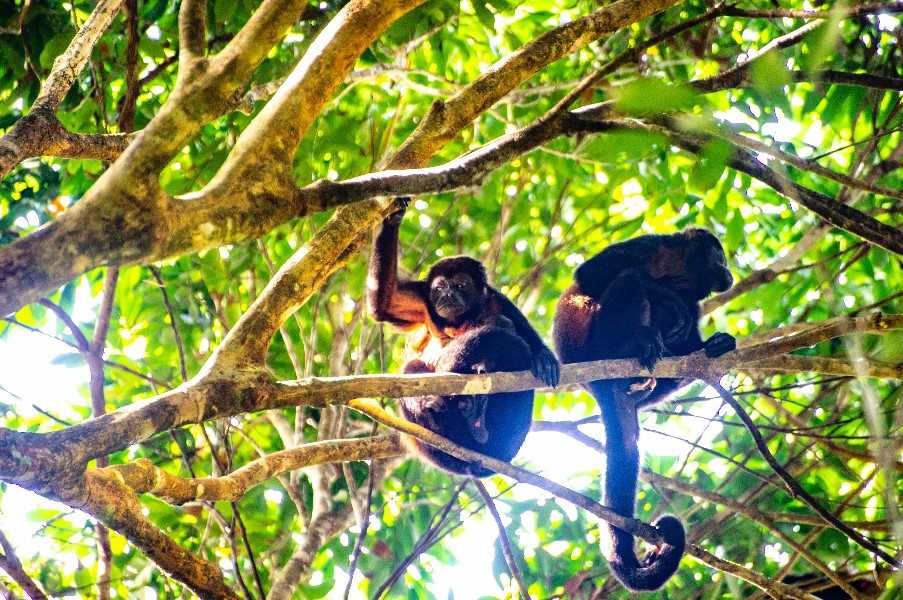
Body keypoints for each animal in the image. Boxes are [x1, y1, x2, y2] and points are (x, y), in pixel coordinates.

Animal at [368, 198, 560, 475]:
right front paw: (392, 218)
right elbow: (383, 304)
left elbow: (526, 335)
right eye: (439, 288)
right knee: (413, 366)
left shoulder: (497, 299)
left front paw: (544, 357)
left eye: (460, 285)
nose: (447, 295)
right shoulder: (422, 298)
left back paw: (477, 420)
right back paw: (434, 409)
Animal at [552, 228, 736, 591]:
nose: (729, 271)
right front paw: (666, 296)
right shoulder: (647, 245)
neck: (680, 272)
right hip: (597, 345)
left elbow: (690, 336)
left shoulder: (694, 300)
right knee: (629, 280)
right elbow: (591, 274)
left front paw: (715, 344)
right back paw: (636, 343)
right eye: (720, 256)